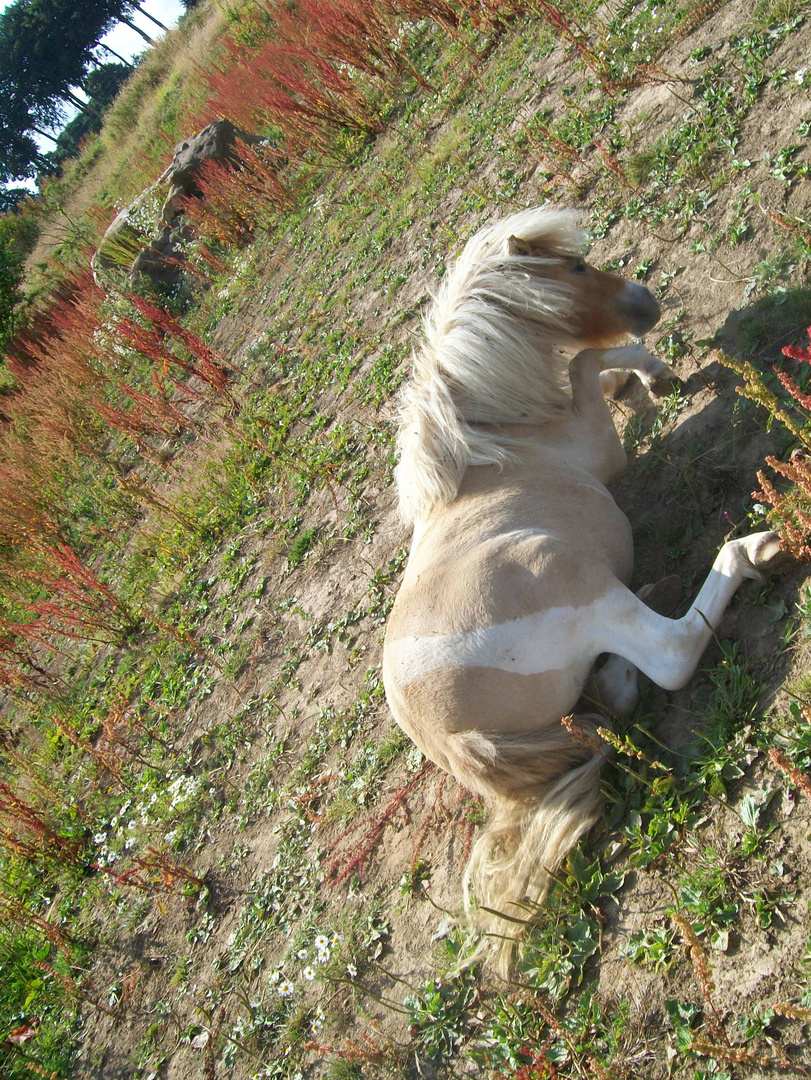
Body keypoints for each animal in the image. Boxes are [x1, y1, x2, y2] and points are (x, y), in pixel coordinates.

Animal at [384, 204, 781, 972]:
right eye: (573, 268)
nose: (644, 301)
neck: (486, 448)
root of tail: (452, 740)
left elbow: (586, 363)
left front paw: (646, 378)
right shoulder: (599, 446)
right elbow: (583, 361)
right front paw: (651, 374)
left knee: (625, 684)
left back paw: (620, 663)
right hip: (560, 565)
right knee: (671, 652)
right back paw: (751, 548)